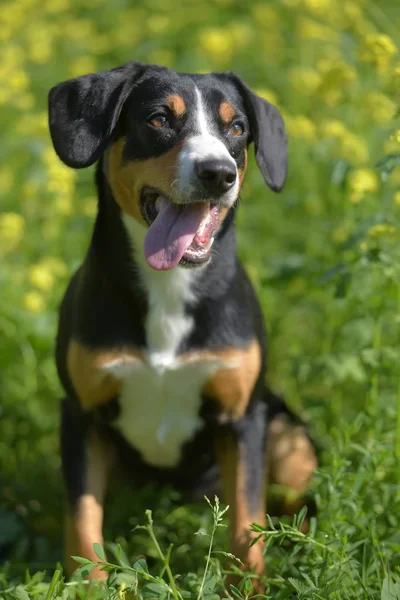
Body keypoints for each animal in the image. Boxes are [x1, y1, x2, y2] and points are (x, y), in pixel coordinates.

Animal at [48, 61, 318, 584]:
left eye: (237, 128)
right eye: (158, 119)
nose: (218, 173)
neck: (169, 287)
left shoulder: (242, 419)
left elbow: (247, 524)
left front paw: (245, 587)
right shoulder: (81, 415)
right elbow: (82, 523)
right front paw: (88, 587)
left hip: (288, 438)